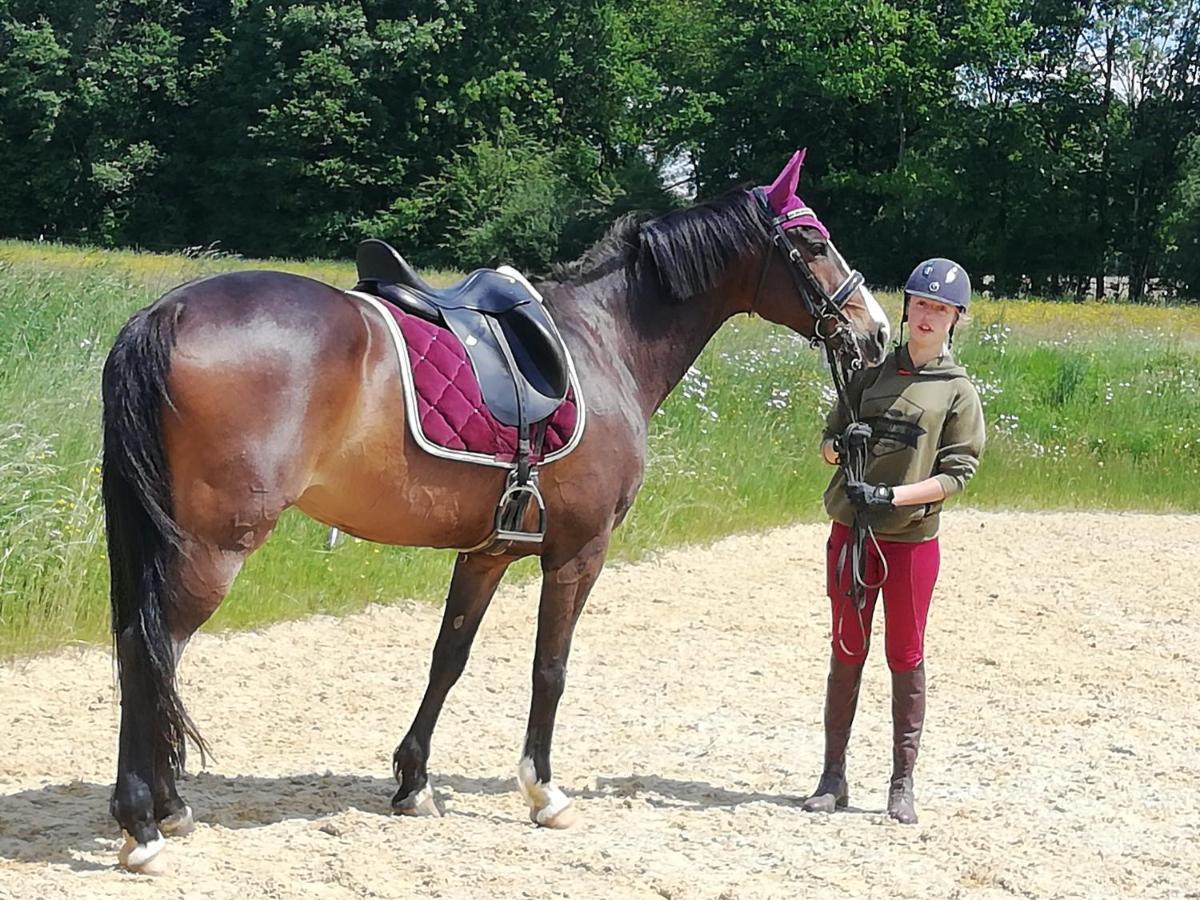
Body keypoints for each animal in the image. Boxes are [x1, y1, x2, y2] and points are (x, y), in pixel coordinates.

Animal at [103, 151, 892, 868]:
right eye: (813, 242)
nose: (876, 330)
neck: (604, 342)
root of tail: (166, 311)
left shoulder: (488, 550)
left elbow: (447, 658)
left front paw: (414, 782)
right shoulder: (579, 552)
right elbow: (551, 668)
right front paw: (544, 791)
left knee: (147, 652)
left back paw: (164, 807)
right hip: (213, 548)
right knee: (150, 649)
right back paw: (143, 823)